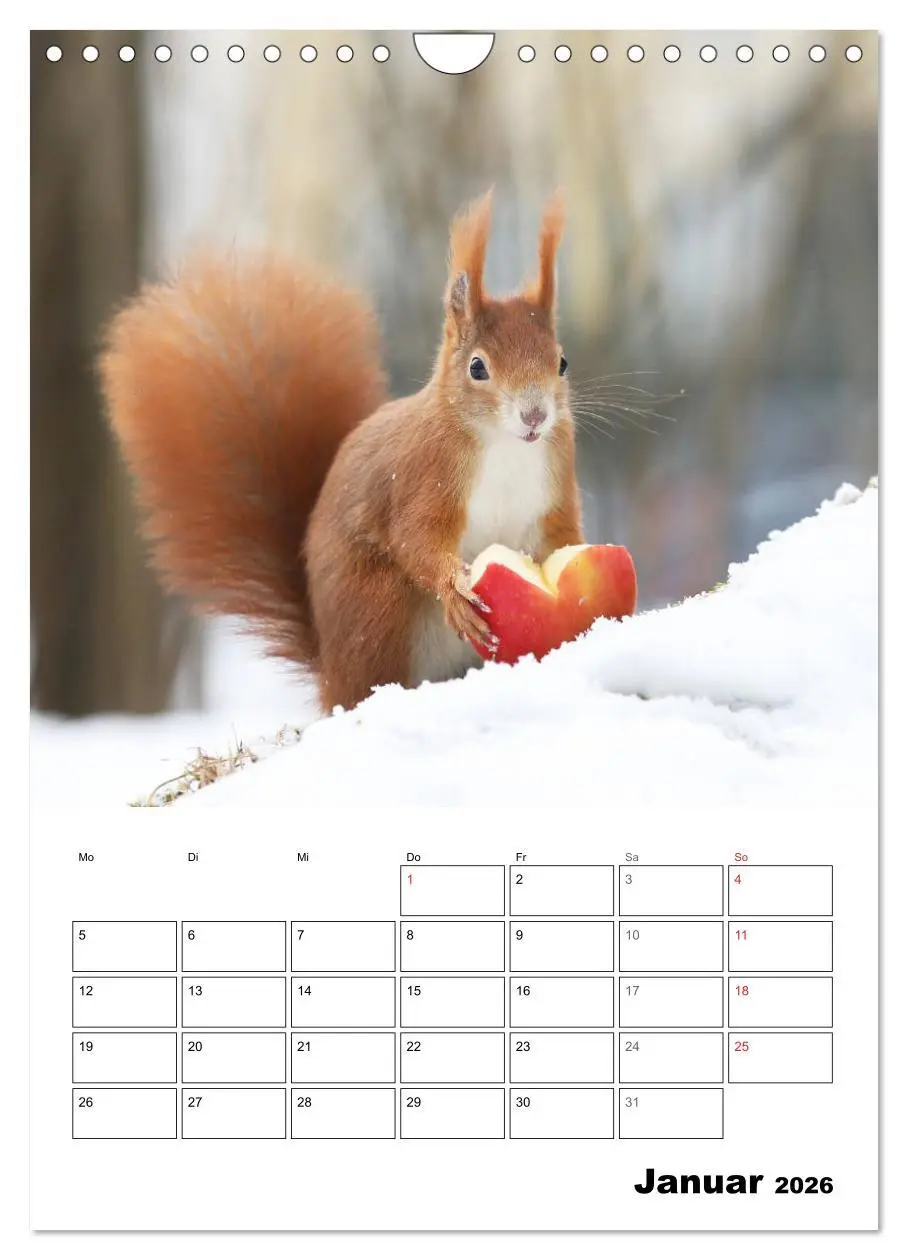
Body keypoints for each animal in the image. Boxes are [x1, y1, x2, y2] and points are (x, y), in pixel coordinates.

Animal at [99, 189, 583, 714]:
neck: (504, 446)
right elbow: (416, 537)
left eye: (561, 362)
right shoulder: (423, 476)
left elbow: (564, 537)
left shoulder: (556, 486)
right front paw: (454, 587)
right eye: (478, 368)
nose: (534, 416)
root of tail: (330, 674)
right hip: (377, 609)